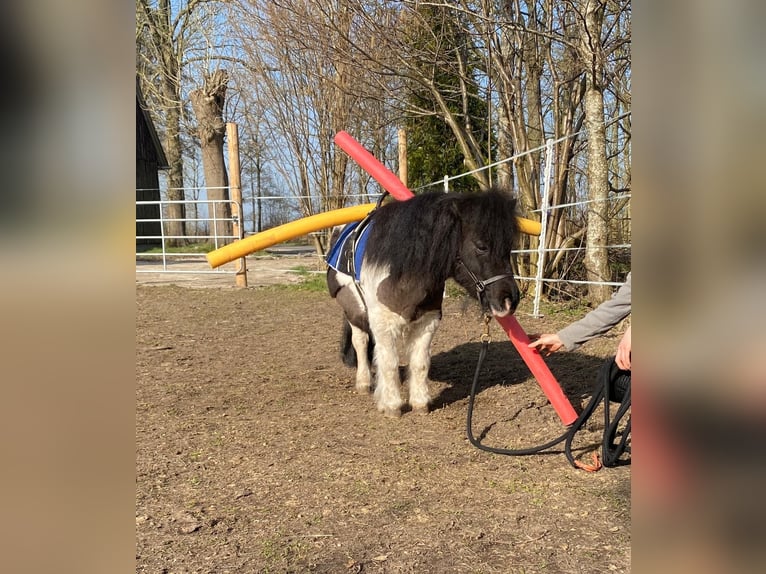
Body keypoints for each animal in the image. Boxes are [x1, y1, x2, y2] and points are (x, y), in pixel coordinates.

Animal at [324, 189, 520, 418]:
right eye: (481, 246)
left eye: (509, 247)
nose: (510, 300)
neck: (403, 268)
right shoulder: (383, 322)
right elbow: (389, 363)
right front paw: (392, 405)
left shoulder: (427, 320)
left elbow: (420, 363)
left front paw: (420, 403)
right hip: (353, 312)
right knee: (361, 343)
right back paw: (364, 382)